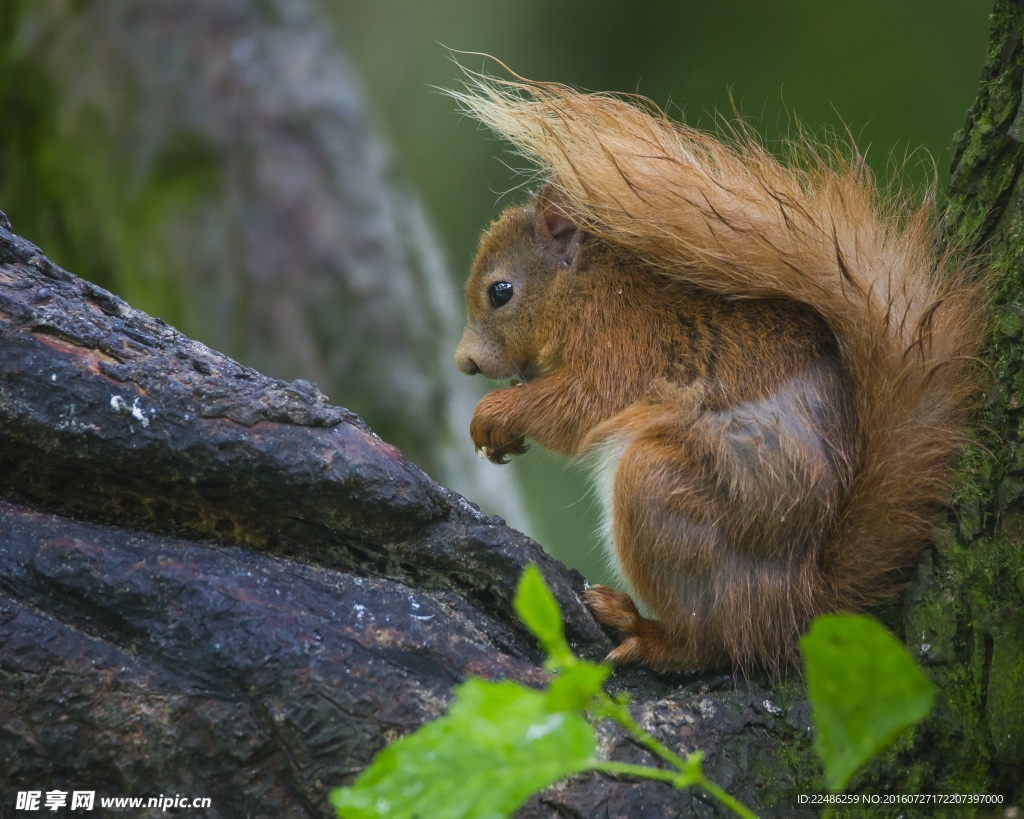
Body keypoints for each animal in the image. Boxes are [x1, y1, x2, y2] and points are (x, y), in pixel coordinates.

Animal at [448, 72, 983, 671]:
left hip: (662, 492)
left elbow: (580, 406)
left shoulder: (620, 345)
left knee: (707, 642)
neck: (586, 286)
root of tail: (800, 604)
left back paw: (642, 630)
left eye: (501, 291)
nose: (465, 362)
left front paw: (495, 413)